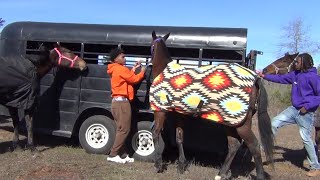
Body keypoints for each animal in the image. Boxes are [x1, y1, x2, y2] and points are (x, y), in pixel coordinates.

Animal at [150, 31, 276, 180]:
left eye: (151, 47)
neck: (162, 69)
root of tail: (256, 78)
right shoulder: (179, 114)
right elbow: (179, 138)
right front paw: (181, 165)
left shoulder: (160, 110)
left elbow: (155, 133)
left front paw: (158, 164)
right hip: (230, 123)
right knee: (234, 145)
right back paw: (221, 174)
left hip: (242, 125)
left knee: (254, 145)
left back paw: (258, 175)